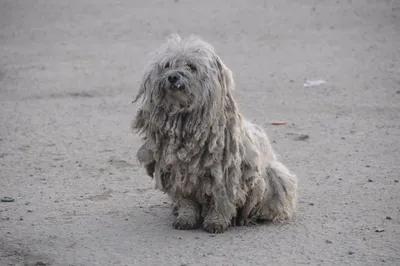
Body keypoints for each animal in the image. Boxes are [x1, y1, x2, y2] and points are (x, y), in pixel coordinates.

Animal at [131, 33, 296, 233]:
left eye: (191, 66)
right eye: (167, 65)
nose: (173, 77)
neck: (186, 124)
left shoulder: (225, 175)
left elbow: (222, 201)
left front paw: (216, 222)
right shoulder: (178, 173)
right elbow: (186, 201)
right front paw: (185, 219)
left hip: (273, 176)